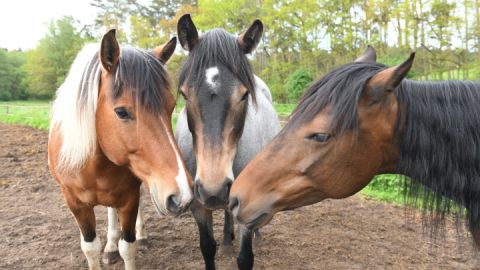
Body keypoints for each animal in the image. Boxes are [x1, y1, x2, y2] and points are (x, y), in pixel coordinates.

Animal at [47, 29, 192, 270]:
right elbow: (90, 248)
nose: (182, 195)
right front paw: (107, 247)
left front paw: (131, 240)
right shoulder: (74, 202)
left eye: (171, 107)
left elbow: (129, 247)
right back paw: (111, 246)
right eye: (122, 112)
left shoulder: (129, 198)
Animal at [175, 14, 282, 270]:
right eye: (184, 94)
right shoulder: (199, 206)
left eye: (244, 95)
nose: (213, 189)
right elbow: (207, 247)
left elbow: (245, 258)